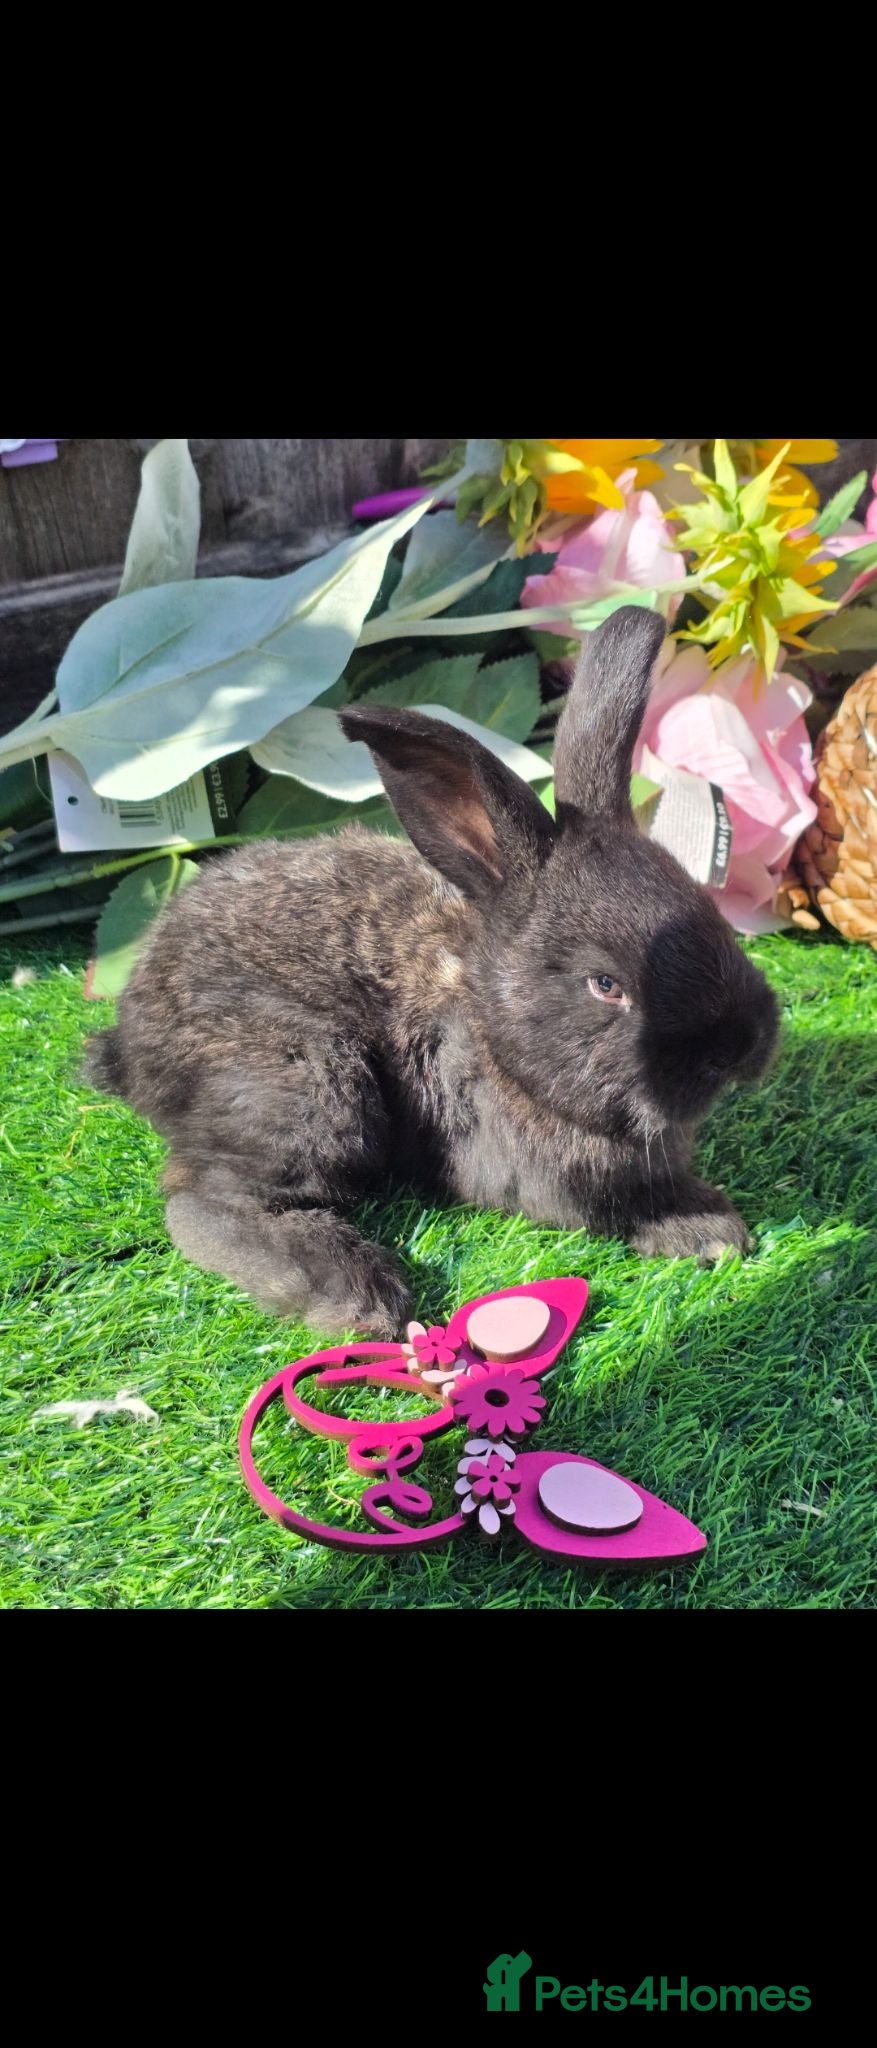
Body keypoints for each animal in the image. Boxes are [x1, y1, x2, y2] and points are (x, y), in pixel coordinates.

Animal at [84, 606, 779, 1335]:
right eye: (605, 984)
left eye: (710, 912)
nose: (741, 1048)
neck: (487, 1026)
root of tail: (126, 1040)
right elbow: (615, 1205)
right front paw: (706, 1228)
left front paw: (712, 1231)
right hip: (308, 1080)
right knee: (203, 1204)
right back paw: (357, 1296)